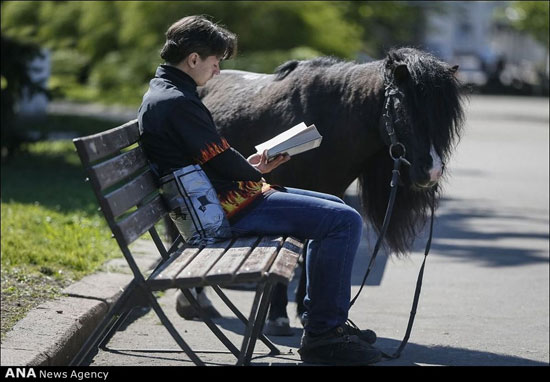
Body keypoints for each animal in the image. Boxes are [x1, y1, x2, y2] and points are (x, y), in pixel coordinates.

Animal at [198, 47, 466, 320]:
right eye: (404, 109)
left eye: (444, 117)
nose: (432, 171)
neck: (329, 123)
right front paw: (279, 315)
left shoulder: (330, 192)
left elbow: (311, 248)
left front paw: (304, 307)